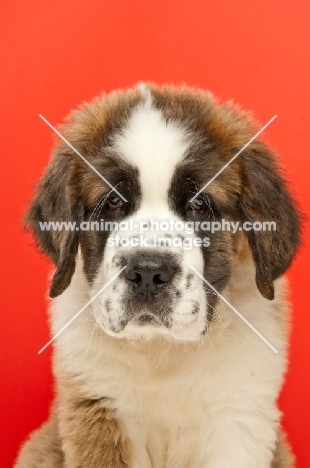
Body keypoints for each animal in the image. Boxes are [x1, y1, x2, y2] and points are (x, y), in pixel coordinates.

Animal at [16, 84, 300, 468]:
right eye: (112, 202)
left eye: (199, 205)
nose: (148, 272)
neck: (162, 350)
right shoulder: (100, 409)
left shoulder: (236, 417)